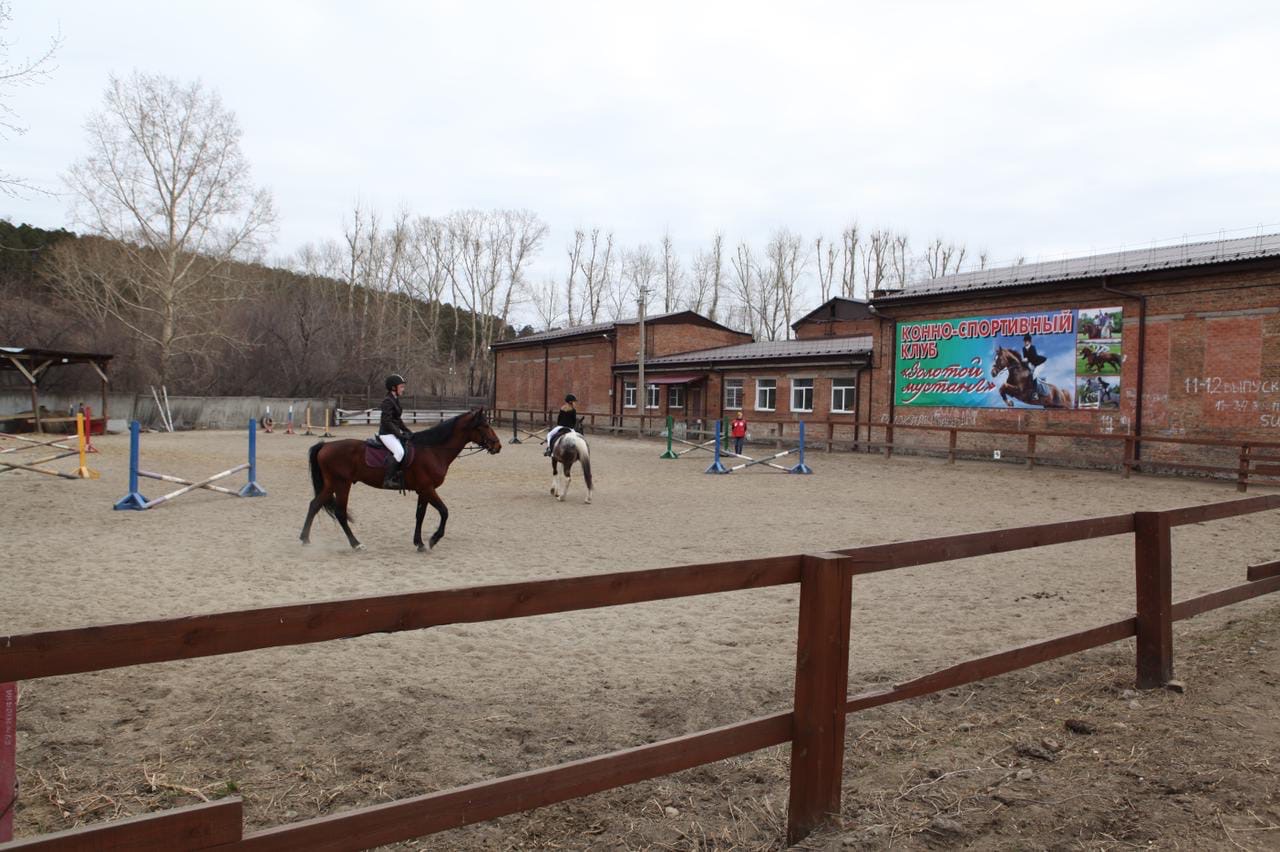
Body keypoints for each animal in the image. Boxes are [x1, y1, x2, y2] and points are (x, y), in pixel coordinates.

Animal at [299, 406, 499, 550]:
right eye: (484, 426)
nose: (498, 446)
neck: (433, 450)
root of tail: (326, 446)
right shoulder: (428, 488)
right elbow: (444, 511)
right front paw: (433, 539)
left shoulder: (423, 490)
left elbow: (420, 515)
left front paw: (419, 543)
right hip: (342, 484)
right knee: (340, 512)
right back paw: (356, 544)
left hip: (331, 484)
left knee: (314, 504)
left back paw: (305, 538)